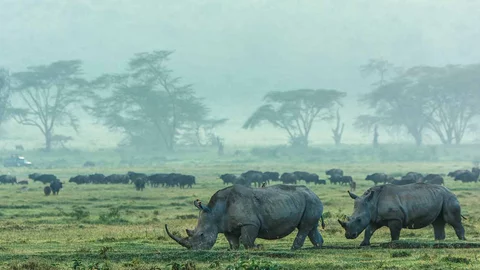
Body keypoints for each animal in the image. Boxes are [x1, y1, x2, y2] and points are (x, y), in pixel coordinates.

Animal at [166, 185, 326, 250]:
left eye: (201, 235)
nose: (196, 250)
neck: (214, 211)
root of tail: (314, 193)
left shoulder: (250, 223)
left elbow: (247, 239)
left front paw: (258, 247)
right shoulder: (228, 227)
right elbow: (233, 242)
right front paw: (234, 250)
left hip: (311, 201)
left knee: (304, 228)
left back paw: (293, 249)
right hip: (310, 202)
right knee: (311, 228)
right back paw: (318, 246)